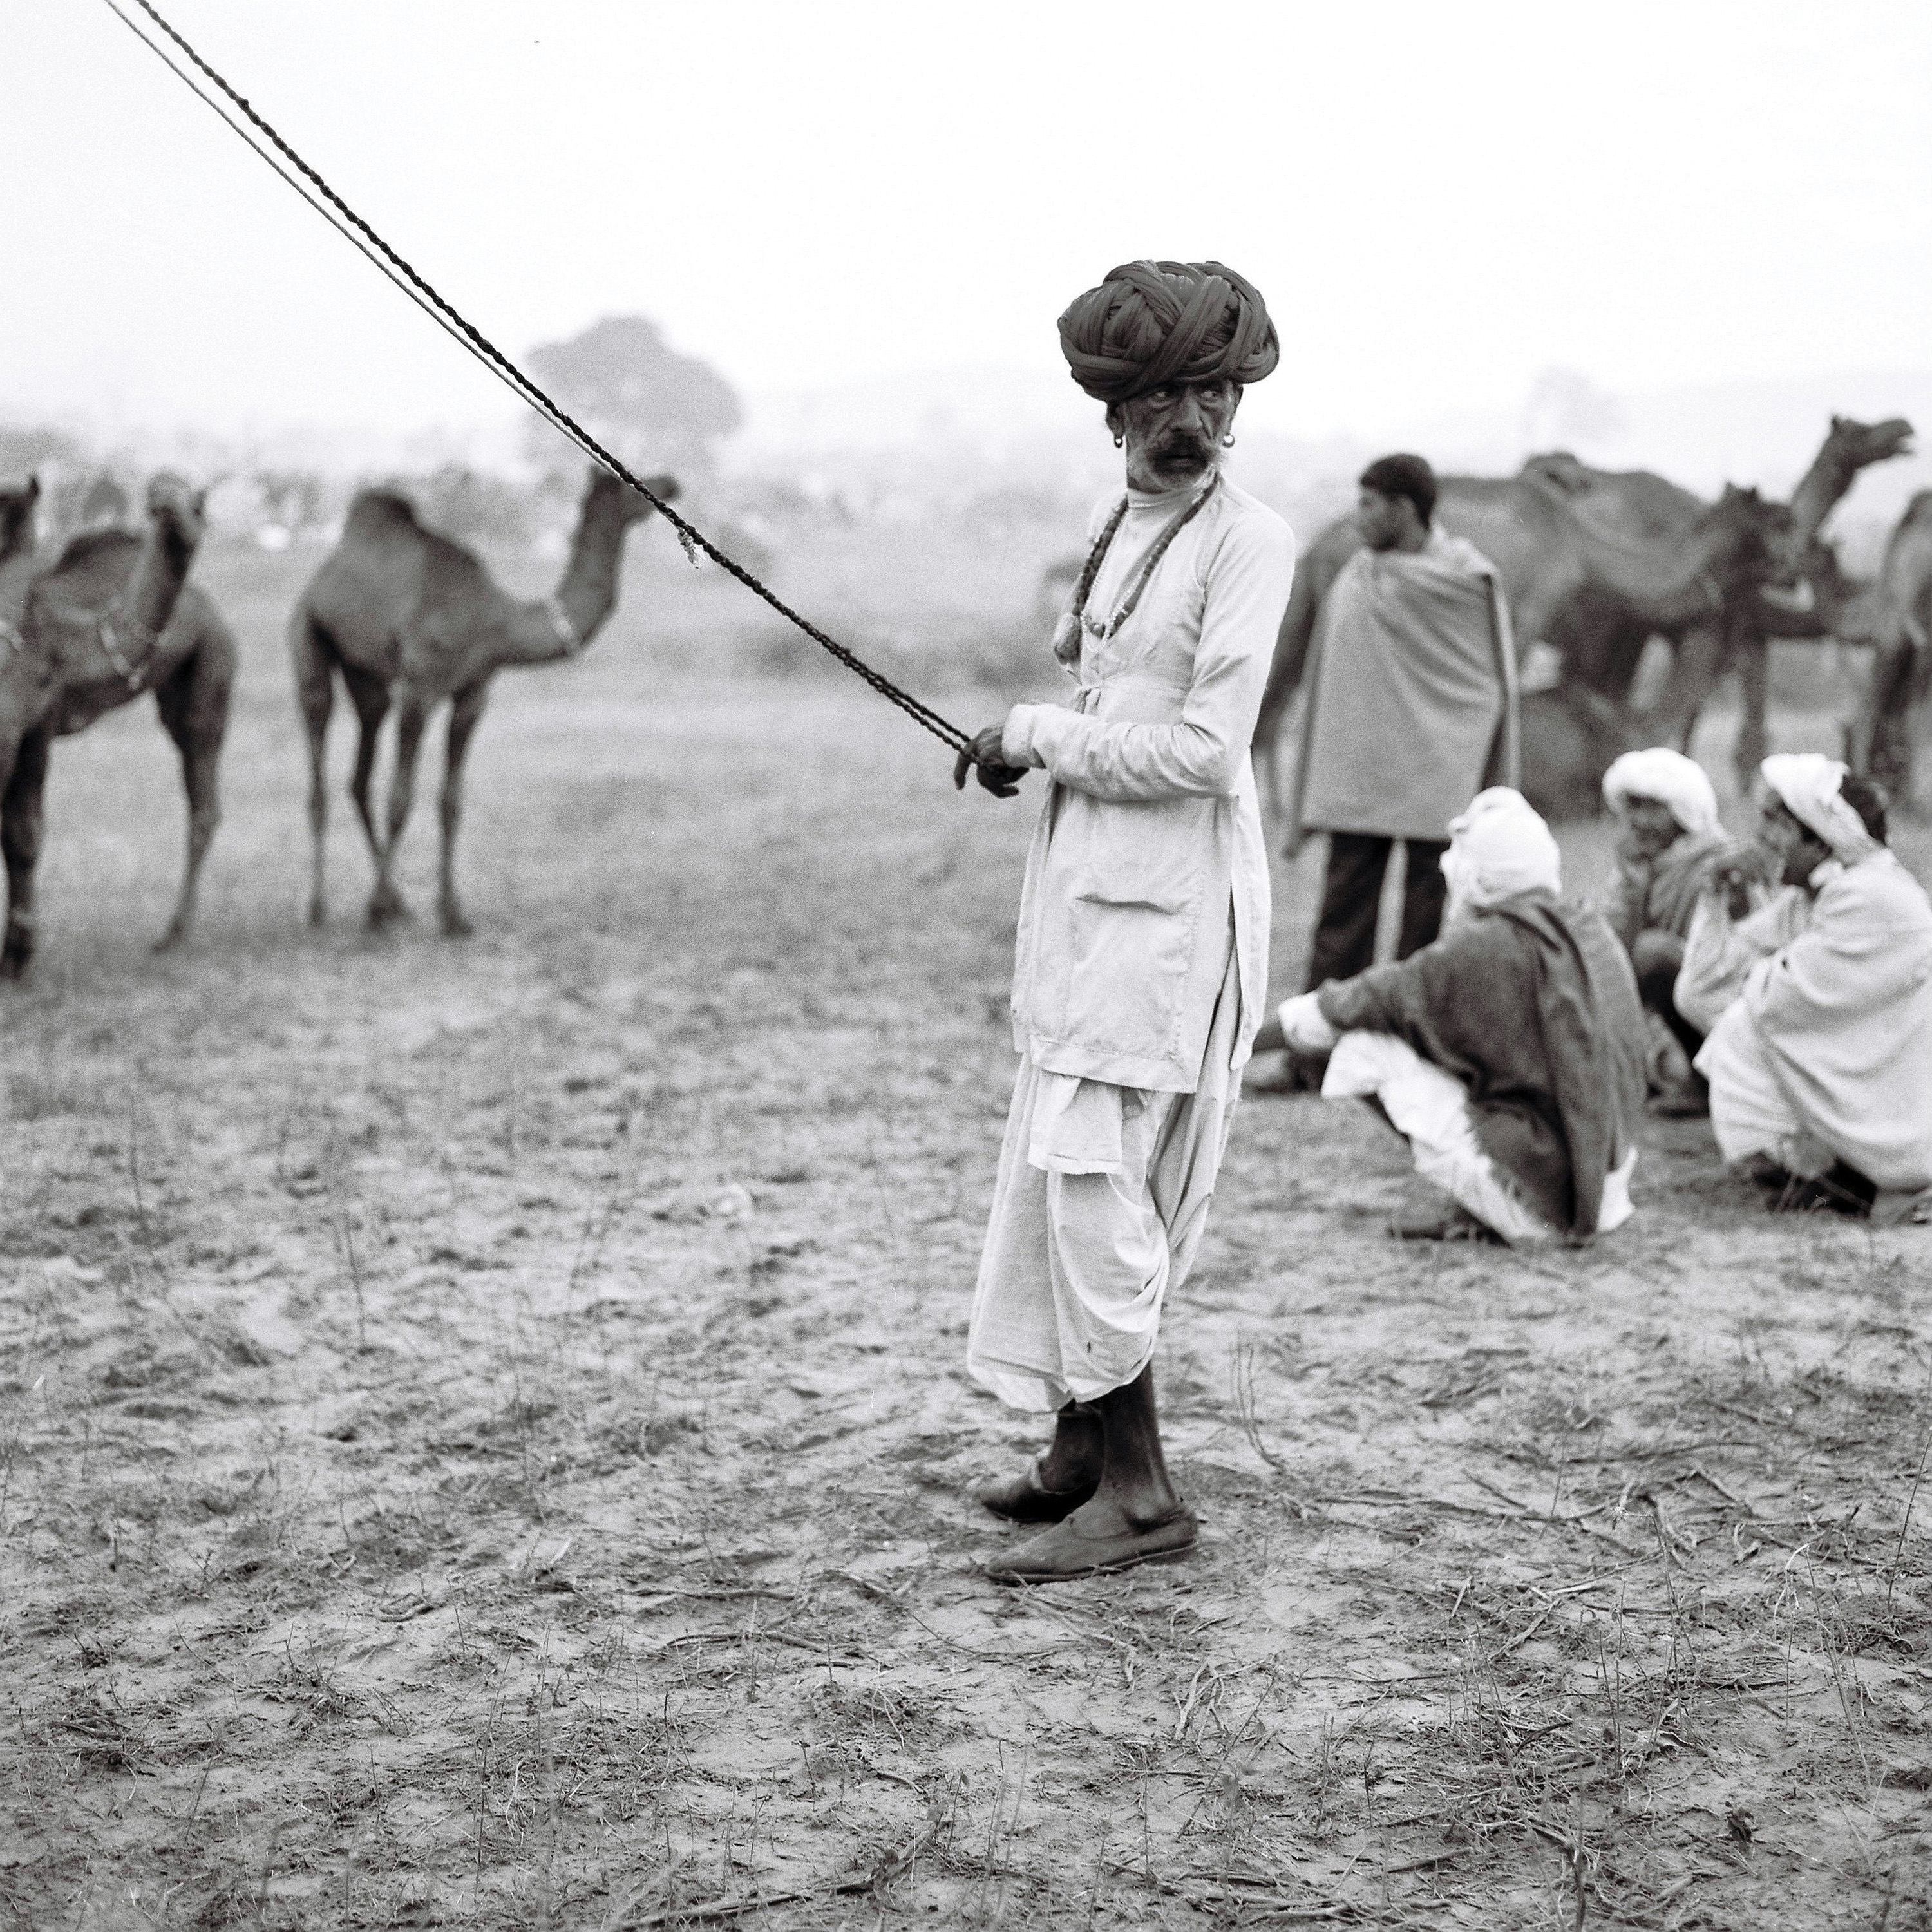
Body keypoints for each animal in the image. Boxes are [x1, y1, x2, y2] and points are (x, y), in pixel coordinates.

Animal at [1, 475, 211, 974]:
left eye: (198, 505)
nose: (162, 500)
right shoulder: (21, 724)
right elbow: (20, 835)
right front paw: (18, 956)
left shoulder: (33, 720)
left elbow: (20, 835)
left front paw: (16, 957)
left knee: (202, 802)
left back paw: (174, 934)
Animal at [286, 456, 680, 931]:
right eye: (629, 483)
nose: (671, 484)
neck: (494, 619)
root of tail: (320, 578)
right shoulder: (420, 688)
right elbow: (401, 799)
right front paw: (377, 908)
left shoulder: (474, 692)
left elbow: (450, 802)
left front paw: (452, 913)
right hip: (309, 635)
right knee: (319, 746)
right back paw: (319, 906)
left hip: (365, 673)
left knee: (361, 768)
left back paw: (396, 901)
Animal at [1260, 464, 1785, 819]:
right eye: (1774, 523)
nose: (1792, 562)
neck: (1578, 544)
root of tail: (1317, 545)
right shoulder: (1530, 605)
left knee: (1277, 697)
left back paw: (1287, 809)